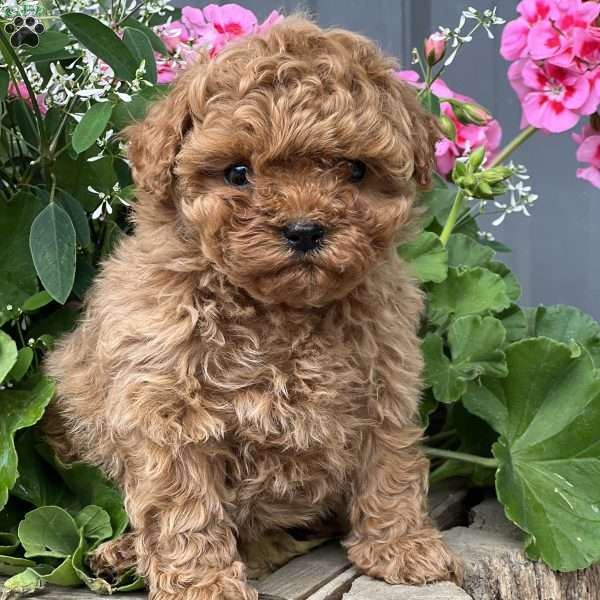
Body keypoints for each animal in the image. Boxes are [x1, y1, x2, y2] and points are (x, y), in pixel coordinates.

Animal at [44, 15, 462, 600]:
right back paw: (119, 555)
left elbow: (390, 466)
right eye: (238, 173)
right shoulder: (168, 409)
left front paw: (401, 546)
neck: (281, 309)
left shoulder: (384, 387)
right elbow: (183, 508)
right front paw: (203, 584)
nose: (305, 230)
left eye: (355, 171)